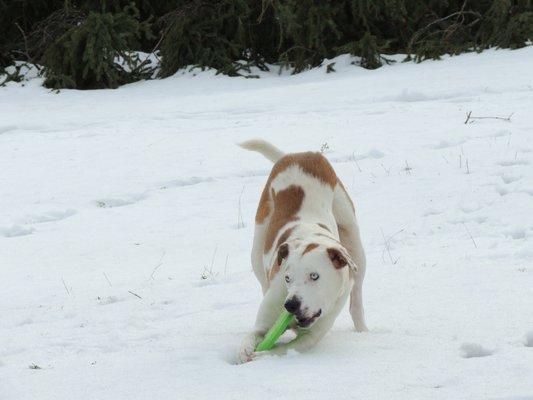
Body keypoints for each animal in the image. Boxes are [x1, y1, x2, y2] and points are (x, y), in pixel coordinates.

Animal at [235, 140, 368, 362]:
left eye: (314, 276)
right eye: (287, 278)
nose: (290, 304)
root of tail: (296, 155)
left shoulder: (311, 337)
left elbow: (282, 350)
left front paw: (262, 357)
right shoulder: (265, 321)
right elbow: (253, 336)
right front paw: (244, 352)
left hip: (353, 237)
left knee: (356, 297)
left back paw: (363, 331)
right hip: (258, 242)